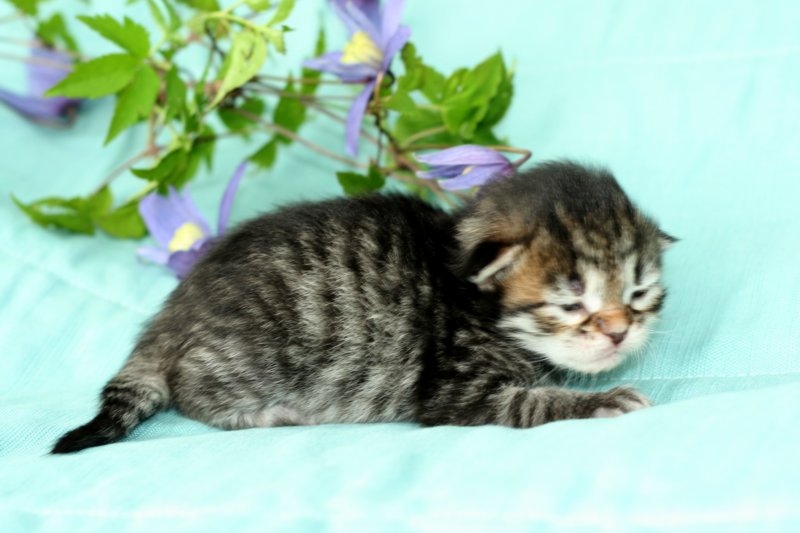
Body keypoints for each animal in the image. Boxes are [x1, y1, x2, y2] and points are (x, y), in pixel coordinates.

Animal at [52, 160, 674, 453]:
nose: (618, 332)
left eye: (638, 295)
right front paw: (604, 401)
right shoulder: (456, 389)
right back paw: (272, 415)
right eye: (572, 303)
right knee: (193, 391)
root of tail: (176, 309)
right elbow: (534, 403)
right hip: (246, 359)